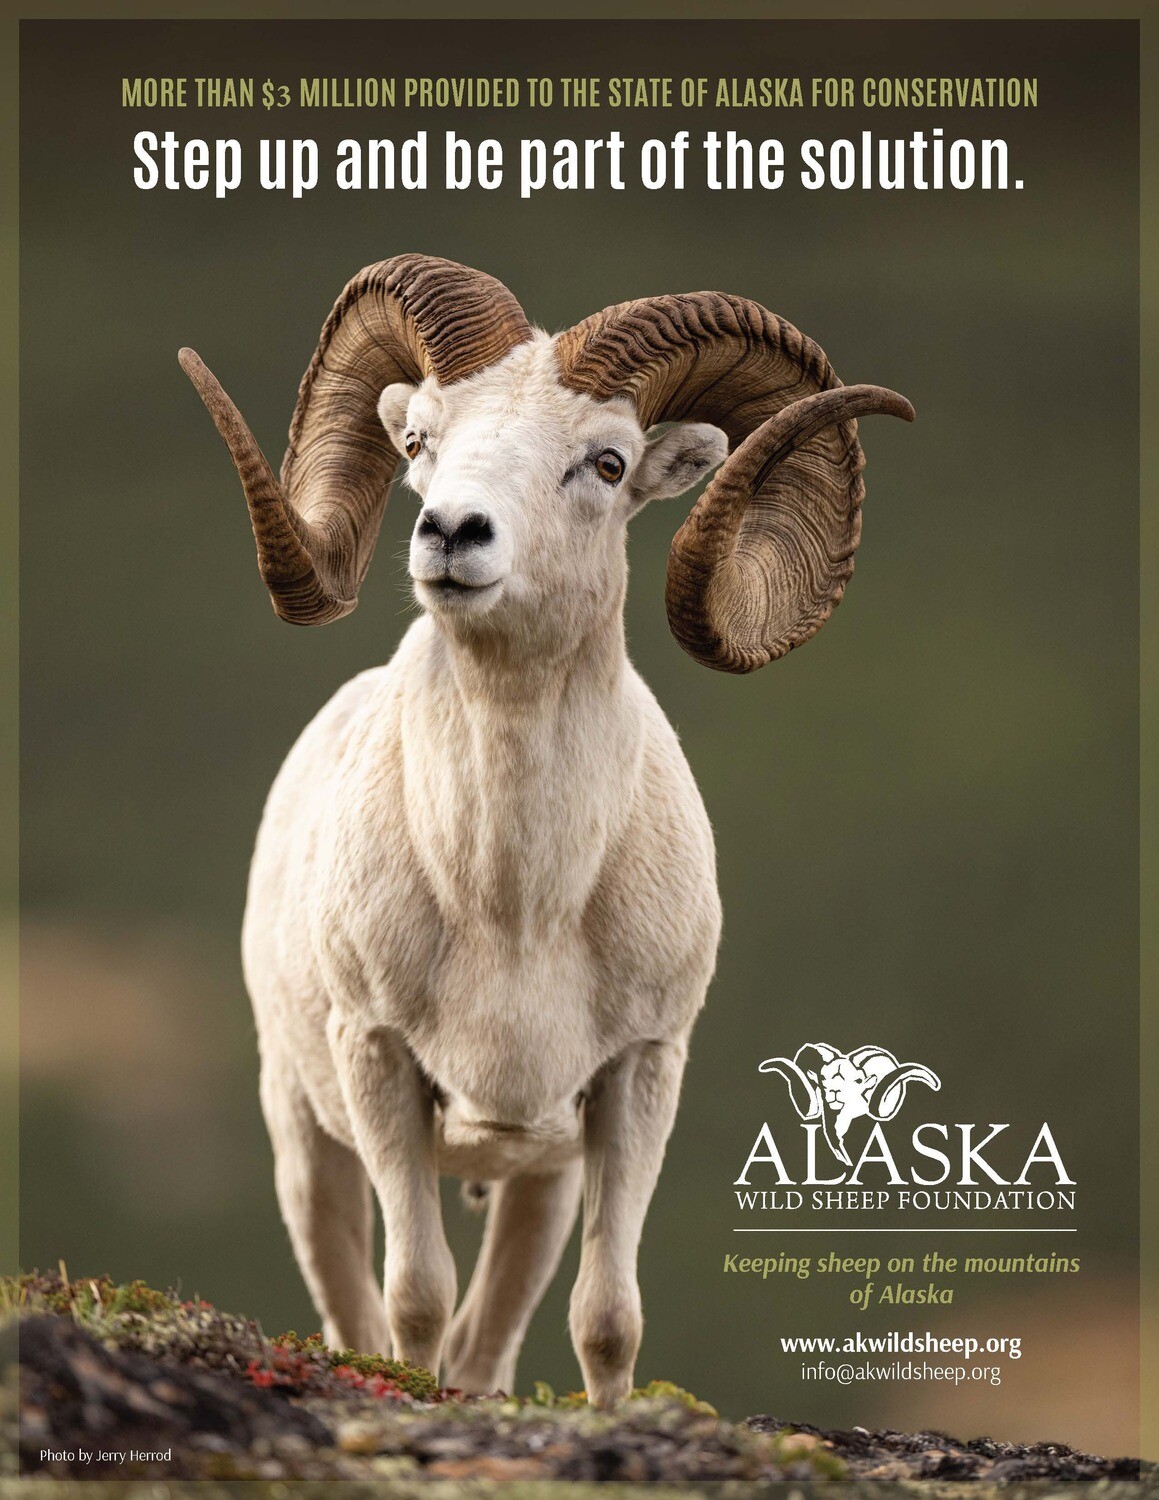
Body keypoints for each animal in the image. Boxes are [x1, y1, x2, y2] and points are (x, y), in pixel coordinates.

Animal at [179, 253, 913, 1407]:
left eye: (605, 463)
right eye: (419, 441)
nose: (451, 535)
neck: (515, 906)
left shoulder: (634, 1081)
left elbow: (606, 1318)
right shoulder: (378, 1066)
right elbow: (414, 1302)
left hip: (538, 1186)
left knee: (493, 1339)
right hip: (307, 1140)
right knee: (354, 1308)